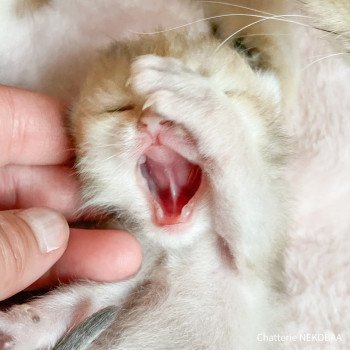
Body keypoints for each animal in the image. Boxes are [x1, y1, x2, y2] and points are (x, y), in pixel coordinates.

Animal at [0, 0, 296, 350]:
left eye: (224, 90)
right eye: (119, 107)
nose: (154, 120)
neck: (178, 248)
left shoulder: (258, 253)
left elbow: (240, 158)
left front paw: (190, 92)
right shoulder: (124, 271)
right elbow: (72, 306)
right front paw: (14, 328)